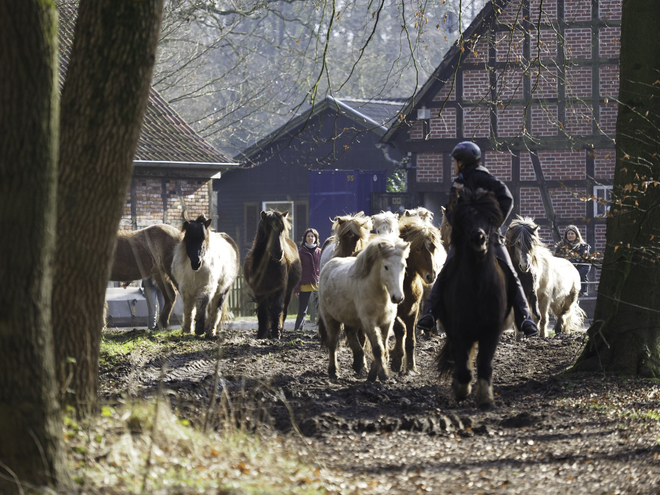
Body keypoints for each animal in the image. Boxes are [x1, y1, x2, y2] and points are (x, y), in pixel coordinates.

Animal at [244, 209, 302, 340]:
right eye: (268, 228)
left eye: (282, 230)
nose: (279, 253)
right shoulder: (259, 290)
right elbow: (262, 310)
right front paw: (262, 333)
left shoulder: (280, 288)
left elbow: (277, 308)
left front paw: (276, 332)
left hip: (288, 291)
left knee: (283, 309)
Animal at [318, 236, 410, 384]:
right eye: (386, 267)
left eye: (403, 266)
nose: (398, 297)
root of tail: (327, 266)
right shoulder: (369, 322)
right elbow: (378, 349)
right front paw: (383, 375)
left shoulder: (386, 323)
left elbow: (383, 348)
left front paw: (373, 374)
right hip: (330, 319)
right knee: (332, 343)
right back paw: (333, 371)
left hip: (352, 319)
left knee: (350, 333)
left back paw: (358, 364)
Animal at [390, 215, 446, 374]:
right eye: (417, 248)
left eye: (433, 247)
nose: (431, 276)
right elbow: (400, 330)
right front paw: (397, 359)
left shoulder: (413, 311)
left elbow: (410, 340)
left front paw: (411, 368)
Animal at [436, 188, 512, 408]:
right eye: (464, 218)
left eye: (489, 218)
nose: (479, 238)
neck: (478, 285)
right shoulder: (459, 329)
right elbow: (462, 364)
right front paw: (462, 389)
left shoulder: (492, 330)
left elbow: (484, 363)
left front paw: (485, 397)